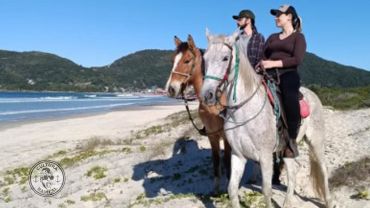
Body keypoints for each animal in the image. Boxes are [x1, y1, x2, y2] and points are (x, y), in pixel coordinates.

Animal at [165, 35, 230, 193]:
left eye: (187, 60)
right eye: (173, 60)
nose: (171, 89)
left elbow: (227, 161)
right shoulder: (212, 135)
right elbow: (216, 159)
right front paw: (216, 189)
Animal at [201, 29, 334, 208]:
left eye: (225, 58)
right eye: (205, 58)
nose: (206, 95)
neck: (244, 111)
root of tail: (314, 95)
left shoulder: (265, 157)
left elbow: (266, 191)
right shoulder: (238, 155)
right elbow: (232, 189)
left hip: (316, 142)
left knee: (323, 169)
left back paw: (329, 201)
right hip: (287, 150)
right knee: (293, 172)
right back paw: (287, 202)